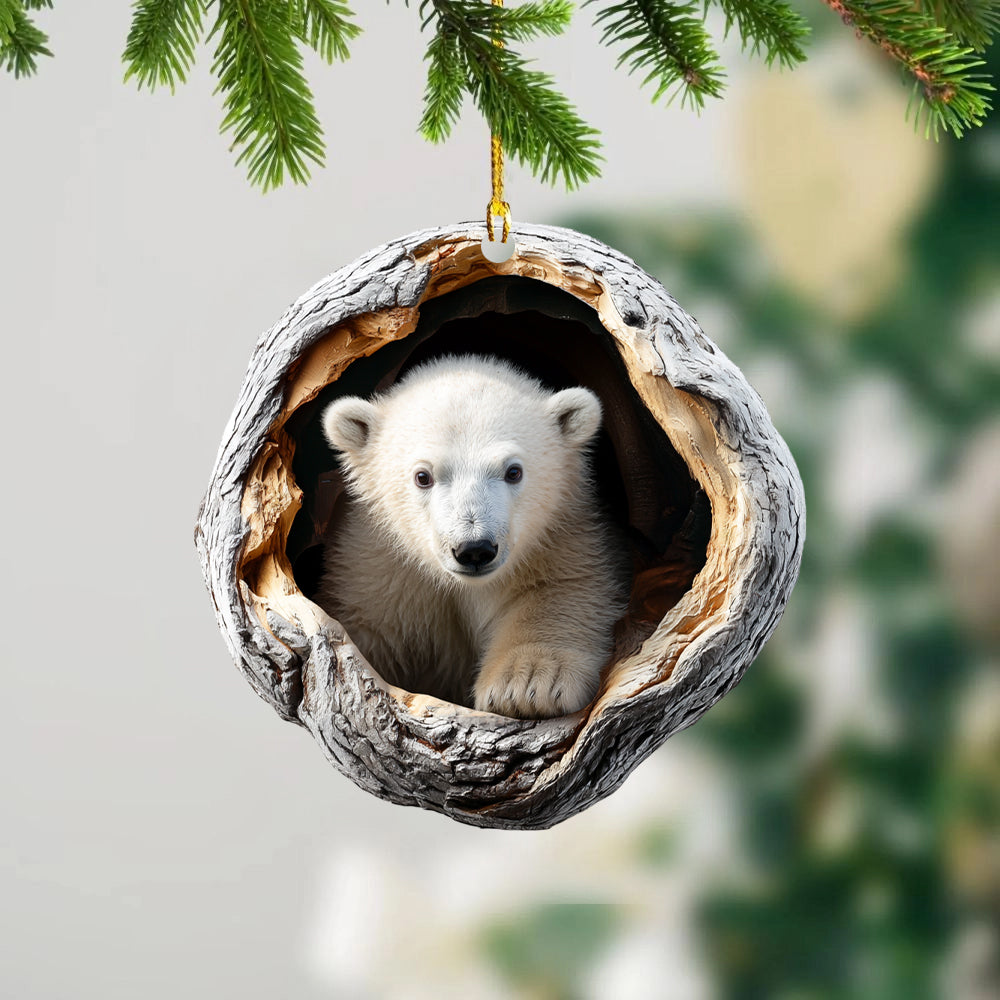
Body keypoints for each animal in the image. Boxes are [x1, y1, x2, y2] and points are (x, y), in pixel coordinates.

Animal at [315, 354, 626, 719]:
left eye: (513, 471)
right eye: (423, 476)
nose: (474, 548)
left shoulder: (564, 536)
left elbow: (563, 591)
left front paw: (526, 685)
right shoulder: (379, 566)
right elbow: (366, 622)